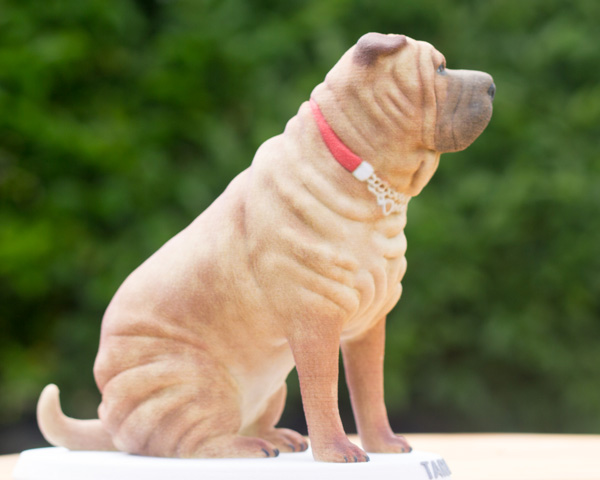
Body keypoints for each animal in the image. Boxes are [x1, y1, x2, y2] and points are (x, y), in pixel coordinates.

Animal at [38, 32, 496, 462]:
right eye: (440, 68)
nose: (492, 84)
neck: (363, 176)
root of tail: (107, 419)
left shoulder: (367, 326)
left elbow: (369, 393)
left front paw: (383, 444)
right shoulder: (316, 325)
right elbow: (323, 395)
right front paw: (338, 453)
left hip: (272, 387)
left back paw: (277, 438)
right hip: (197, 387)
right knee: (190, 444)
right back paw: (249, 447)